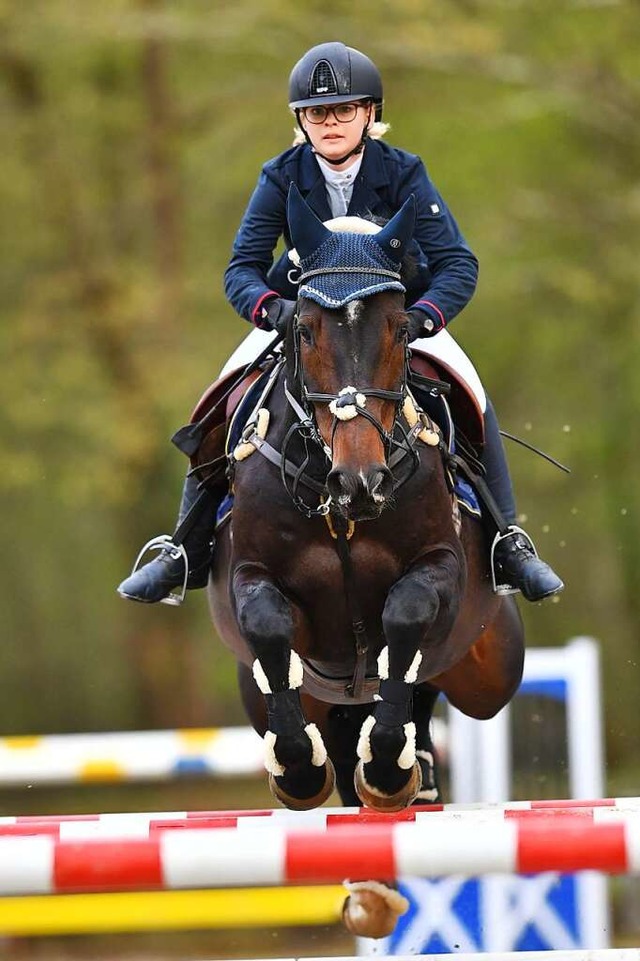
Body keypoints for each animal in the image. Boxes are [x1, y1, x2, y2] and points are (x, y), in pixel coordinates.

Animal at [206, 184, 524, 820]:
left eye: (401, 329)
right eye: (303, 330)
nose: (360, 482)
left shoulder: (439, 566)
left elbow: (406, 618)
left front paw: (387, 768)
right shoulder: (250, 574)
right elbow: (268, 627)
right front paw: (298, 771)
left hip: (492, 666)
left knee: (421, 689)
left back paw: (413, 772)